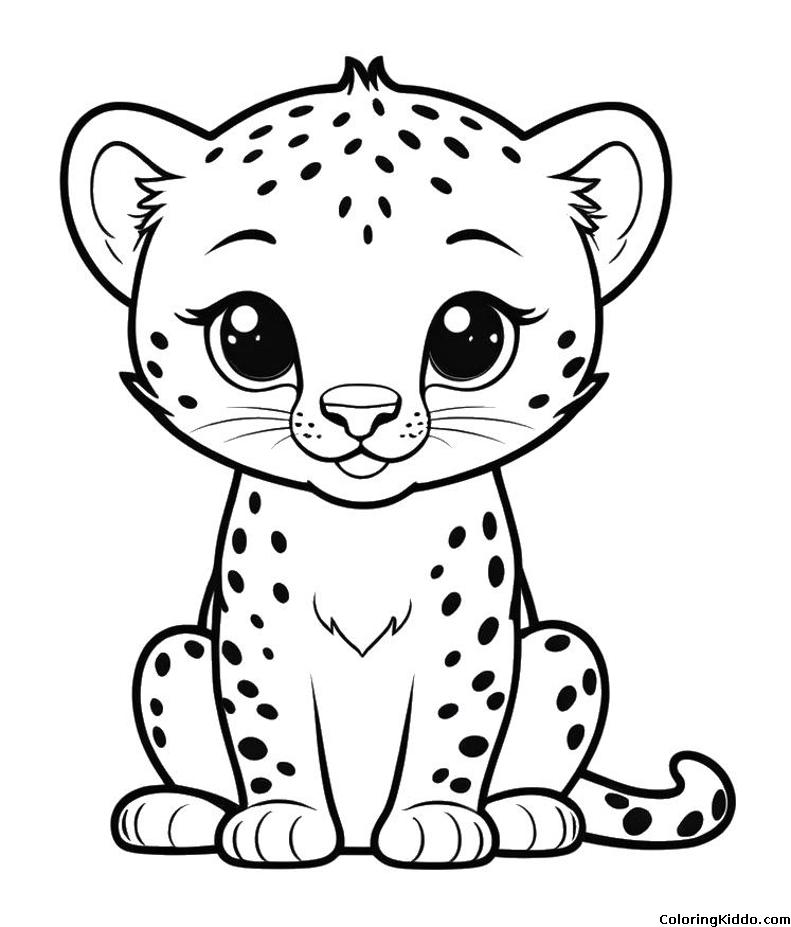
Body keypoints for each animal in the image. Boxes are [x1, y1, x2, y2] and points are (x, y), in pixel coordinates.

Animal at [61, 56, 734, 868]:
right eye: (248, 332)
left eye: (470, 332)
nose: (361, 411)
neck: (364, 534)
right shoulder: (256, 636)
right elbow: (268, 727)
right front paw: (279, 817)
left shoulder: (469, 636)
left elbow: (456, 726)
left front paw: (437, 818)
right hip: (176, 654)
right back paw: (179, 811)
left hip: (561, 651)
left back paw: (530, 813)